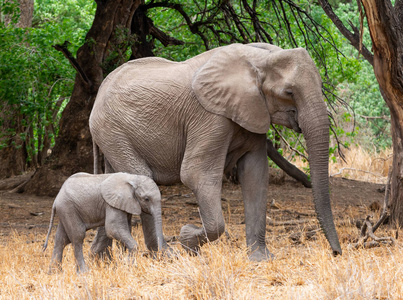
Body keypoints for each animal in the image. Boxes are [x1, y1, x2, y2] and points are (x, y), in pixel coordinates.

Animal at [90, 42, 342, 260]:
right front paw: (187, 240)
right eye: (289, 92)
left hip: (112, 137)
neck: (259, 59)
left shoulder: (253, 111)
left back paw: (100, 258)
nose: (336, 253)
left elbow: (256, 176)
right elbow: (195, 174)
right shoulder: (210, 117)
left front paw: (261, 259)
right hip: (114, 130)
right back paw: (166, 256)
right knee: (143, 179)